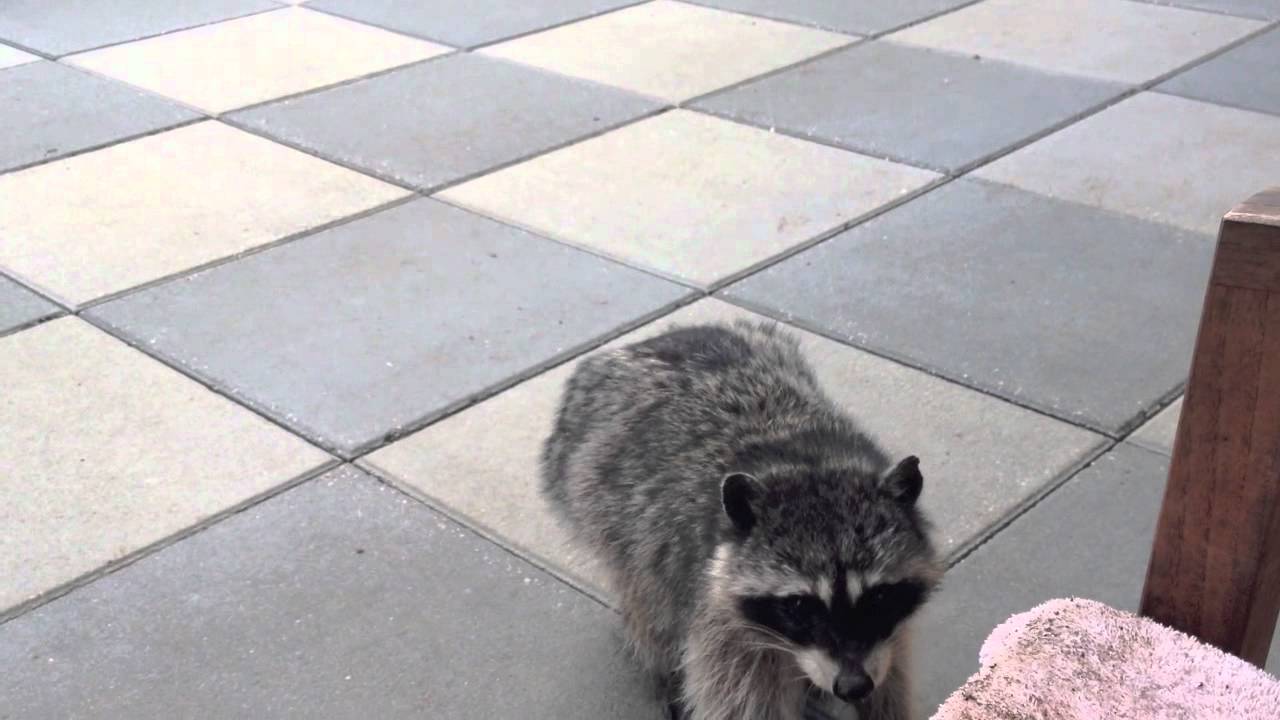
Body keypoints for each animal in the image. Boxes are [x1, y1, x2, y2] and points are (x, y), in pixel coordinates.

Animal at [541, 320, 941, 720]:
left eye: (879, 596)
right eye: (799, 605)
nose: (853, 686)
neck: (809, 463)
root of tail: (650, 340)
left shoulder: (886, 634)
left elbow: (891, 675)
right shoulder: (720, 618)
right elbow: (742, 704)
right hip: (608, 516)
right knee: (648, 603)